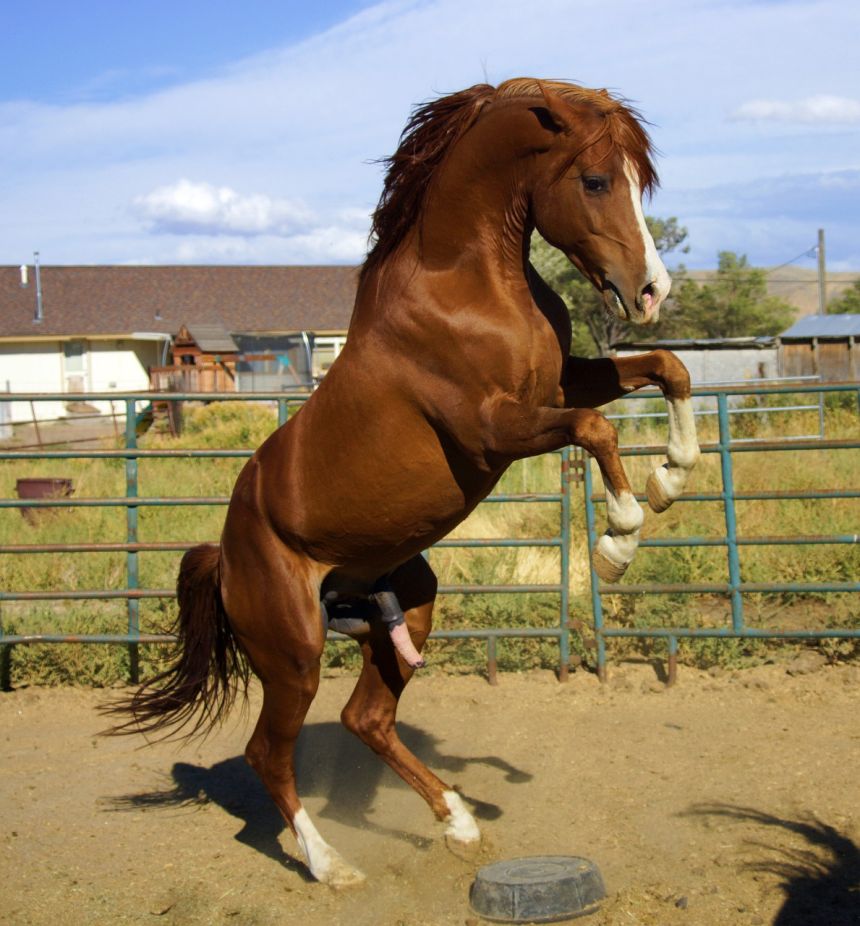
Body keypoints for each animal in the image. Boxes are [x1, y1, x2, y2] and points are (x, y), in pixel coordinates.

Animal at [111, 83, 700, 888]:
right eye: (595, 180)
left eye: (638, 182)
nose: (651, 290)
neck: (469, 285)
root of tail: (224, 558)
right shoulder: (494, 427)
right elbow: (596, 430)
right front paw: (618, 540)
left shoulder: (560, 382)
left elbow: (669, 369)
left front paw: (673, 473)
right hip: (293, 655)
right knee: (269, 752)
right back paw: (331, 866)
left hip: (408, 604)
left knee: (365, 720)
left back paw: (458, 822)